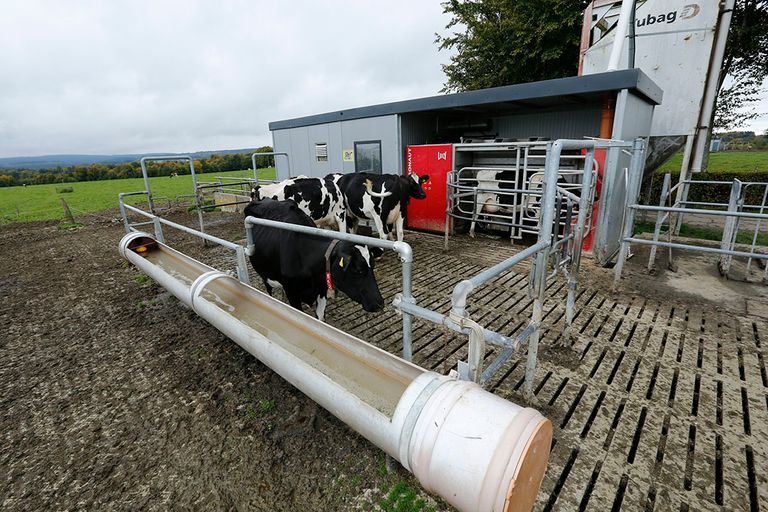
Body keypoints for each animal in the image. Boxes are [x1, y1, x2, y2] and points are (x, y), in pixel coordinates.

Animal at [243, 196, 384, 320]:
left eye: (373, 266)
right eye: (357, 270)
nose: (379, 303)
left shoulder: (321, 289)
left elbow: (319, 319)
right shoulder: (292, 292)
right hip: (265, 274)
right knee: (269, 289)